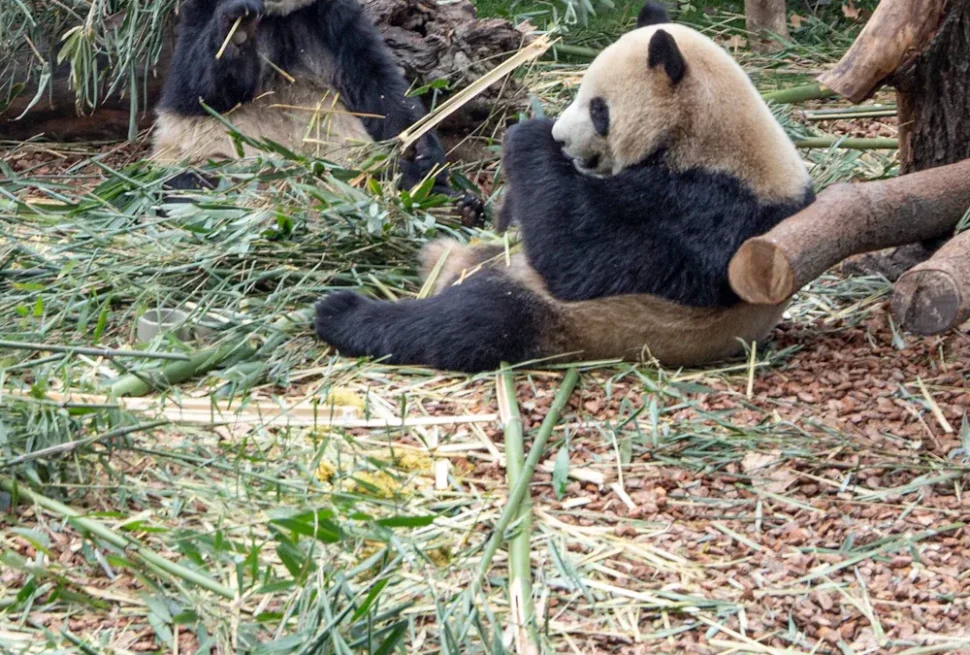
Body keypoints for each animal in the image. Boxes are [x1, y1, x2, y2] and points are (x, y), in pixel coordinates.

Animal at [153, 0, 482, 221]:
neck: (278, 15)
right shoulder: (197, 14)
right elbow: (198, 89)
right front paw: (239, 29)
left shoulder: (334, 20)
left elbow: (379, 86)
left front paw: (421, 147)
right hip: (213, 163)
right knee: (188, 186)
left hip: (356, 167)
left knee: (396, 176)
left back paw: (459, 206)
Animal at [312, 3, 815, 373]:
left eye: (598, 109)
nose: (560, 139)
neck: (710, 137)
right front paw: (505, 198)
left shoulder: (713, 213)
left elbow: (585, 257)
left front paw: (528, 135)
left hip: (578, 320)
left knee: (466, 324)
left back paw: (341, 311)